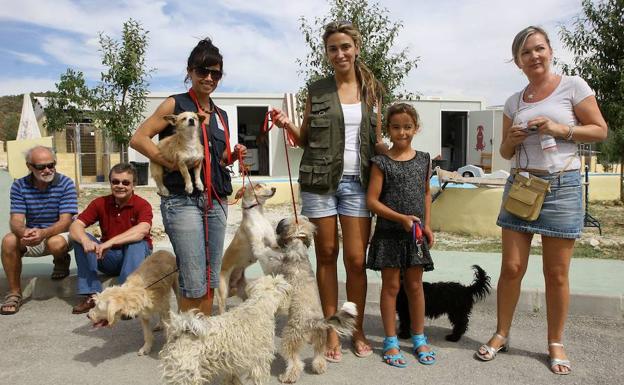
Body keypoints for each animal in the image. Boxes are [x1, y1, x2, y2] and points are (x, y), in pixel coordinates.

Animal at [158, 272, 290, 384]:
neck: (258, 305)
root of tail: (180, 333)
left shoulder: (234, 362)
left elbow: (232, 378)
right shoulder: (260, 362)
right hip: (187, 374)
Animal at [218, 182, 280, 314]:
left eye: (265, 184)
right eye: (257, 186)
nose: (274, 188)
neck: (258, 216)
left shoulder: (272, 242)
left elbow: (275, 248)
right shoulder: (258, 249)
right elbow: (269, 253)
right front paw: (278, 256)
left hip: (243, 291)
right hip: (222, 292)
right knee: (222, 308)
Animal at [252, 214, 358, 382]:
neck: (298, 247)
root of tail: (315, 322)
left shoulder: (274, 268)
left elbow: (265, 256)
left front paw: (258, 245)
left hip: (289, 338)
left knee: (295, 362)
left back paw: (287, 376)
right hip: (320, 340)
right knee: (319, 357)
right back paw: (319, 368)